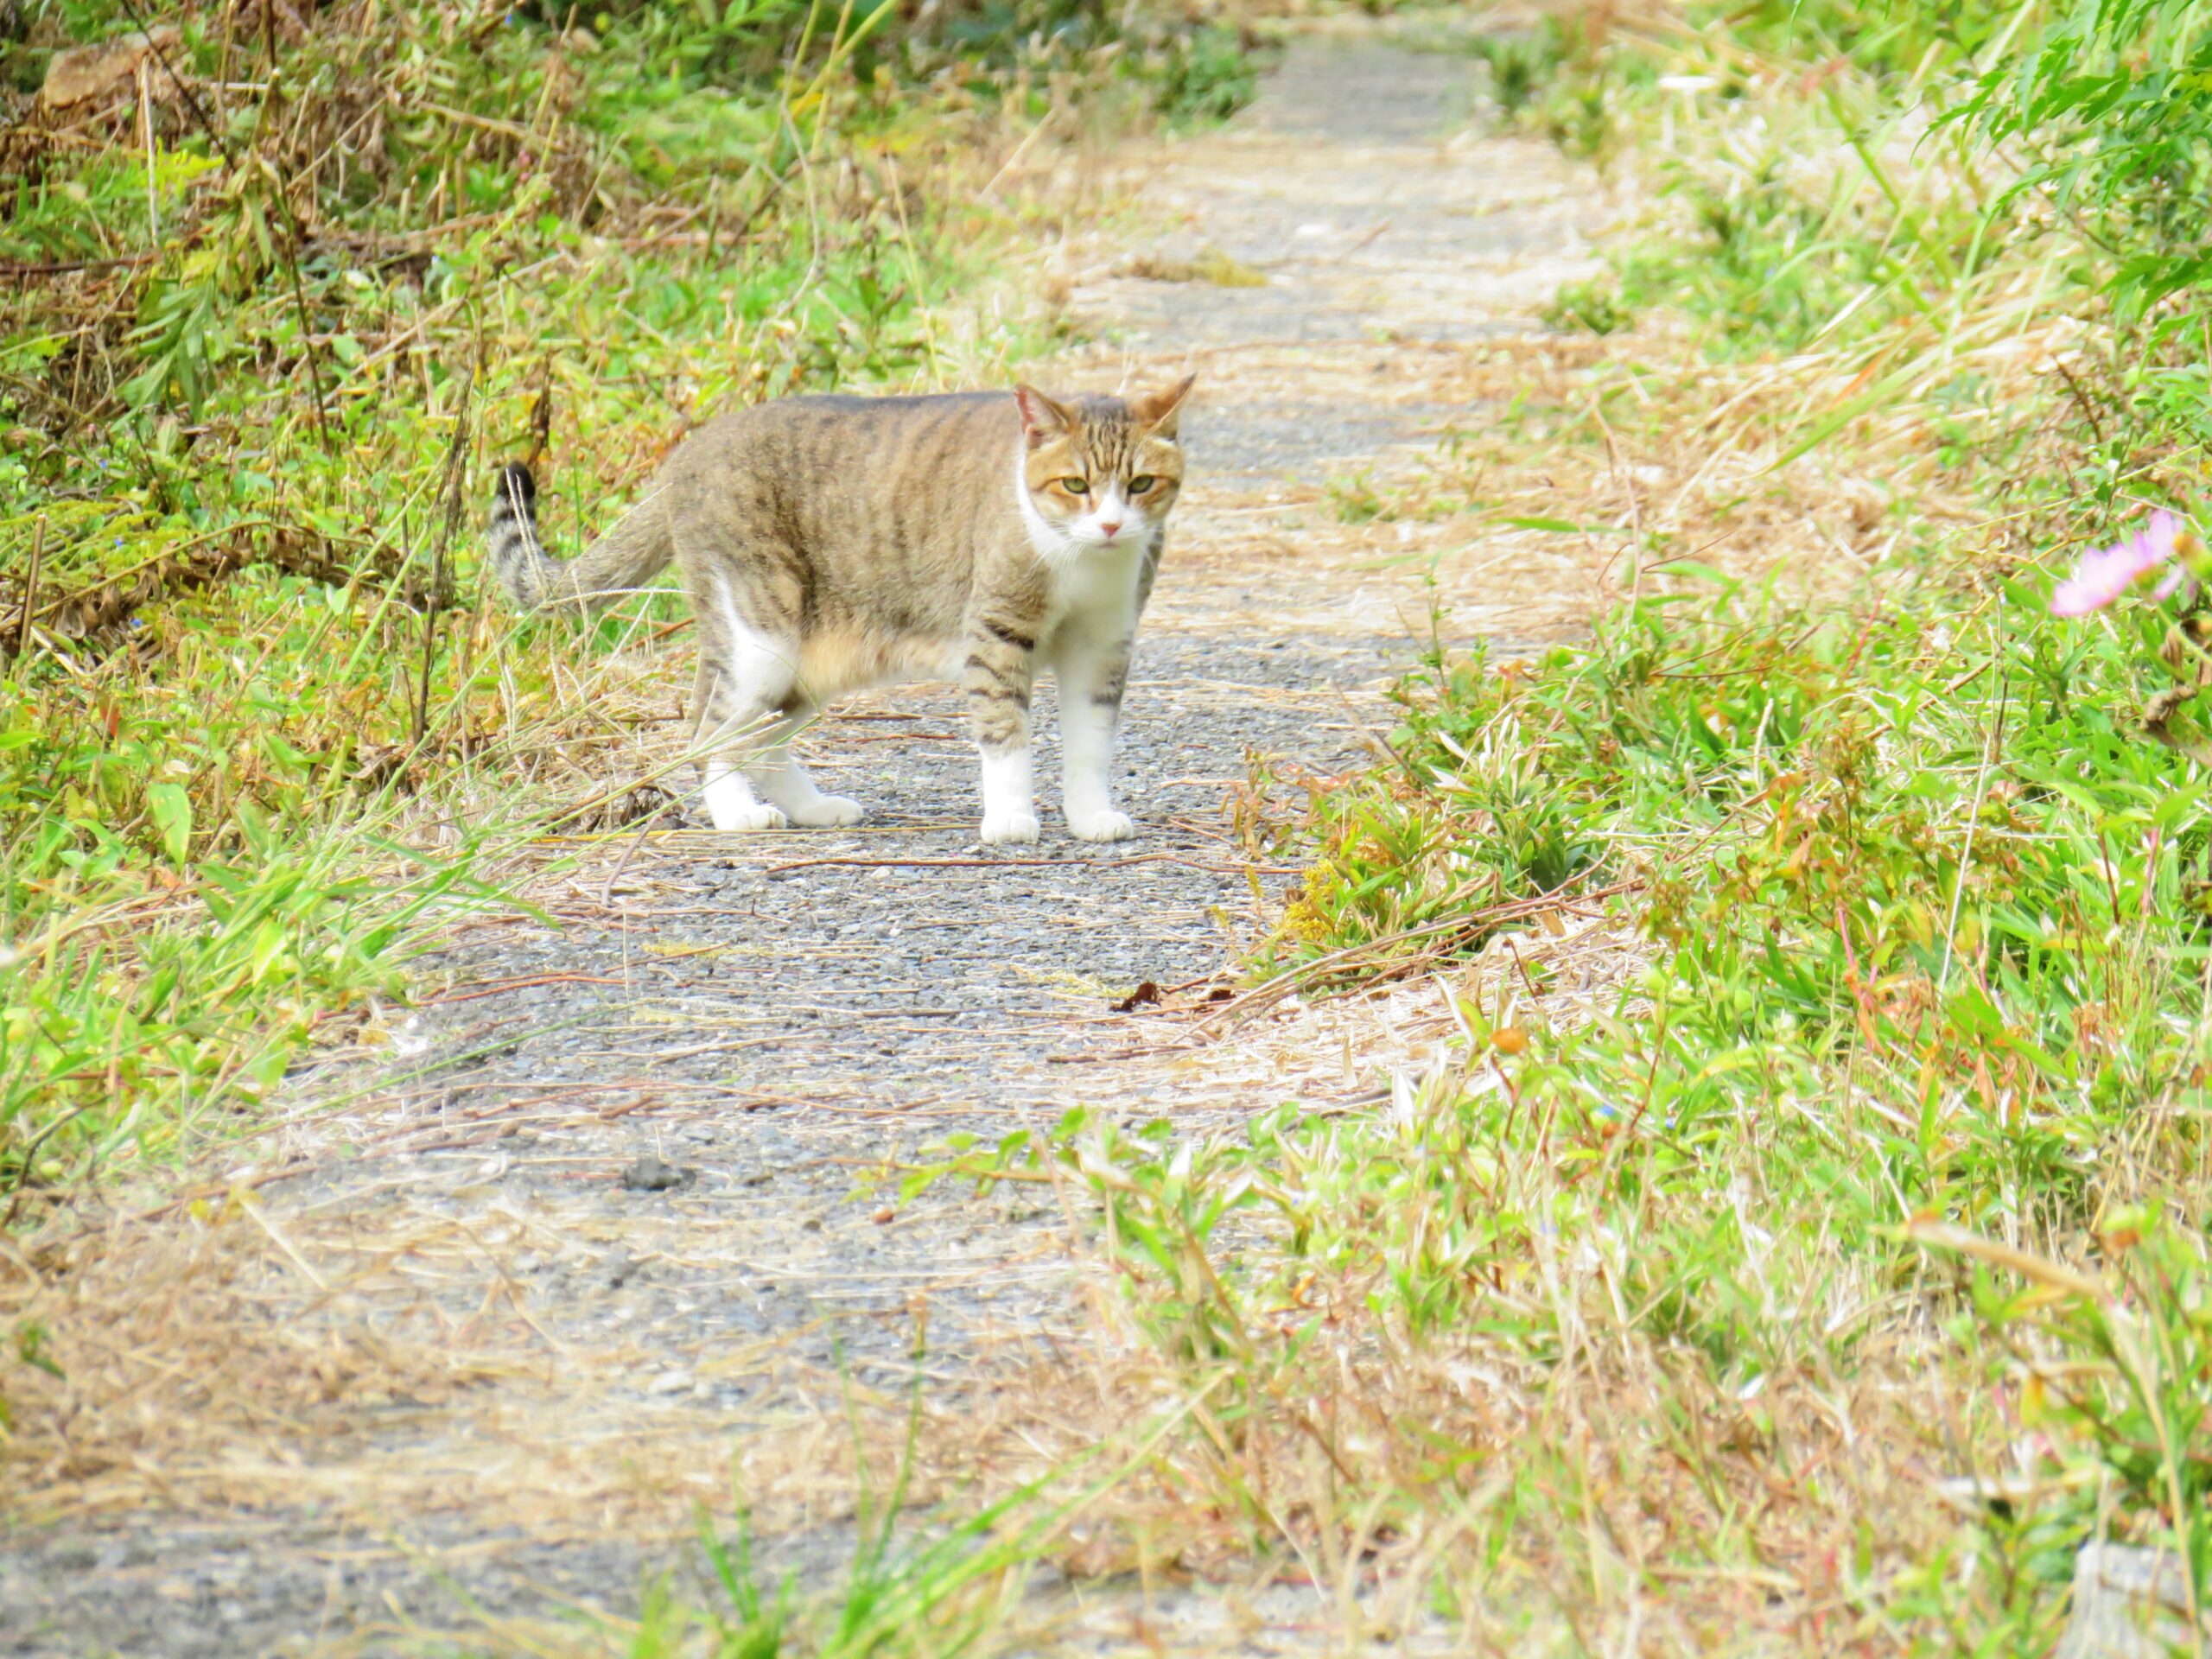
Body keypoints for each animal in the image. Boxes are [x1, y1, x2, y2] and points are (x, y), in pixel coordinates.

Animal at [488, 376, 1194, 844]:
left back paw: (813, 810)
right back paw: (737, 816)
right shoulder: (996, 634)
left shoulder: (1102, 649)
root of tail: (688, 453)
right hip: (760, 635)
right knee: (710, 731)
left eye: (1140, 484)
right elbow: (1005, 734)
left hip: (805, 663)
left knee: (762, 739)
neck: (1085, 566)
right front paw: (1012, 819)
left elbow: (1091, 743)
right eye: (1075, 484)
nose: (1110, 525)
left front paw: (1091, 817)